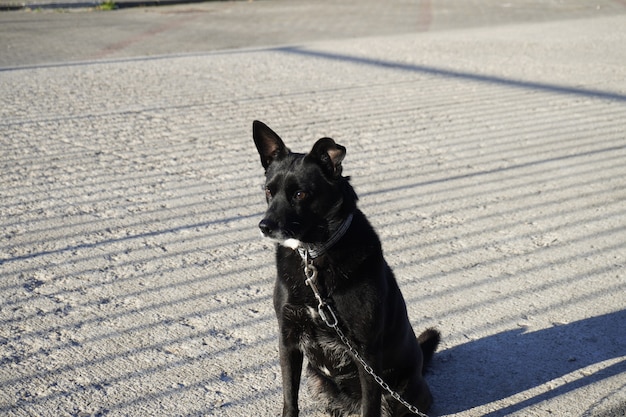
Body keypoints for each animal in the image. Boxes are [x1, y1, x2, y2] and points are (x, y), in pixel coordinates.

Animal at [252, 120, 438, 416]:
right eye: (269, 190)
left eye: (300, 194)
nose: (264, 226)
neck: (314, 255)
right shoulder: (288, 340)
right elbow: (289, 400)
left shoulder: (366, 354)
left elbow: (370, 408)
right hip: (317, 381)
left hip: (401, 392)